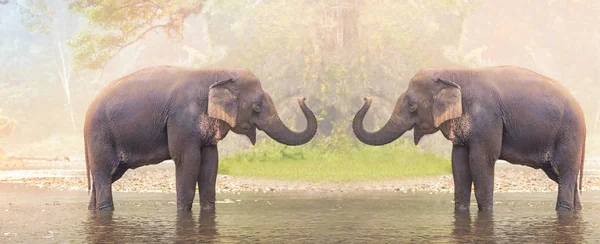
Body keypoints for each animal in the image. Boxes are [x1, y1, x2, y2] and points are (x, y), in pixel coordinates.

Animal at [85, 66, 318, 211]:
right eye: (258, 106)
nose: (302, 97)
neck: (217, 72)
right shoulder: (182, 119)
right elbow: (188, 160)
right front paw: (183, 212)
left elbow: (210, 163)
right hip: (100, 135)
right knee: (105, 174)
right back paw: (105, 210)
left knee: (108, 176)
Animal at [352, 66, 584, 212]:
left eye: (411, 105)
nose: (367, 97)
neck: (453, 72)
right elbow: (459, 163)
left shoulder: (487, 118)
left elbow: (481, 160)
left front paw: (486, 212)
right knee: (559, 176)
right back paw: (576, 210)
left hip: (569, 135)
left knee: (564, 172)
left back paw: (563, 210)